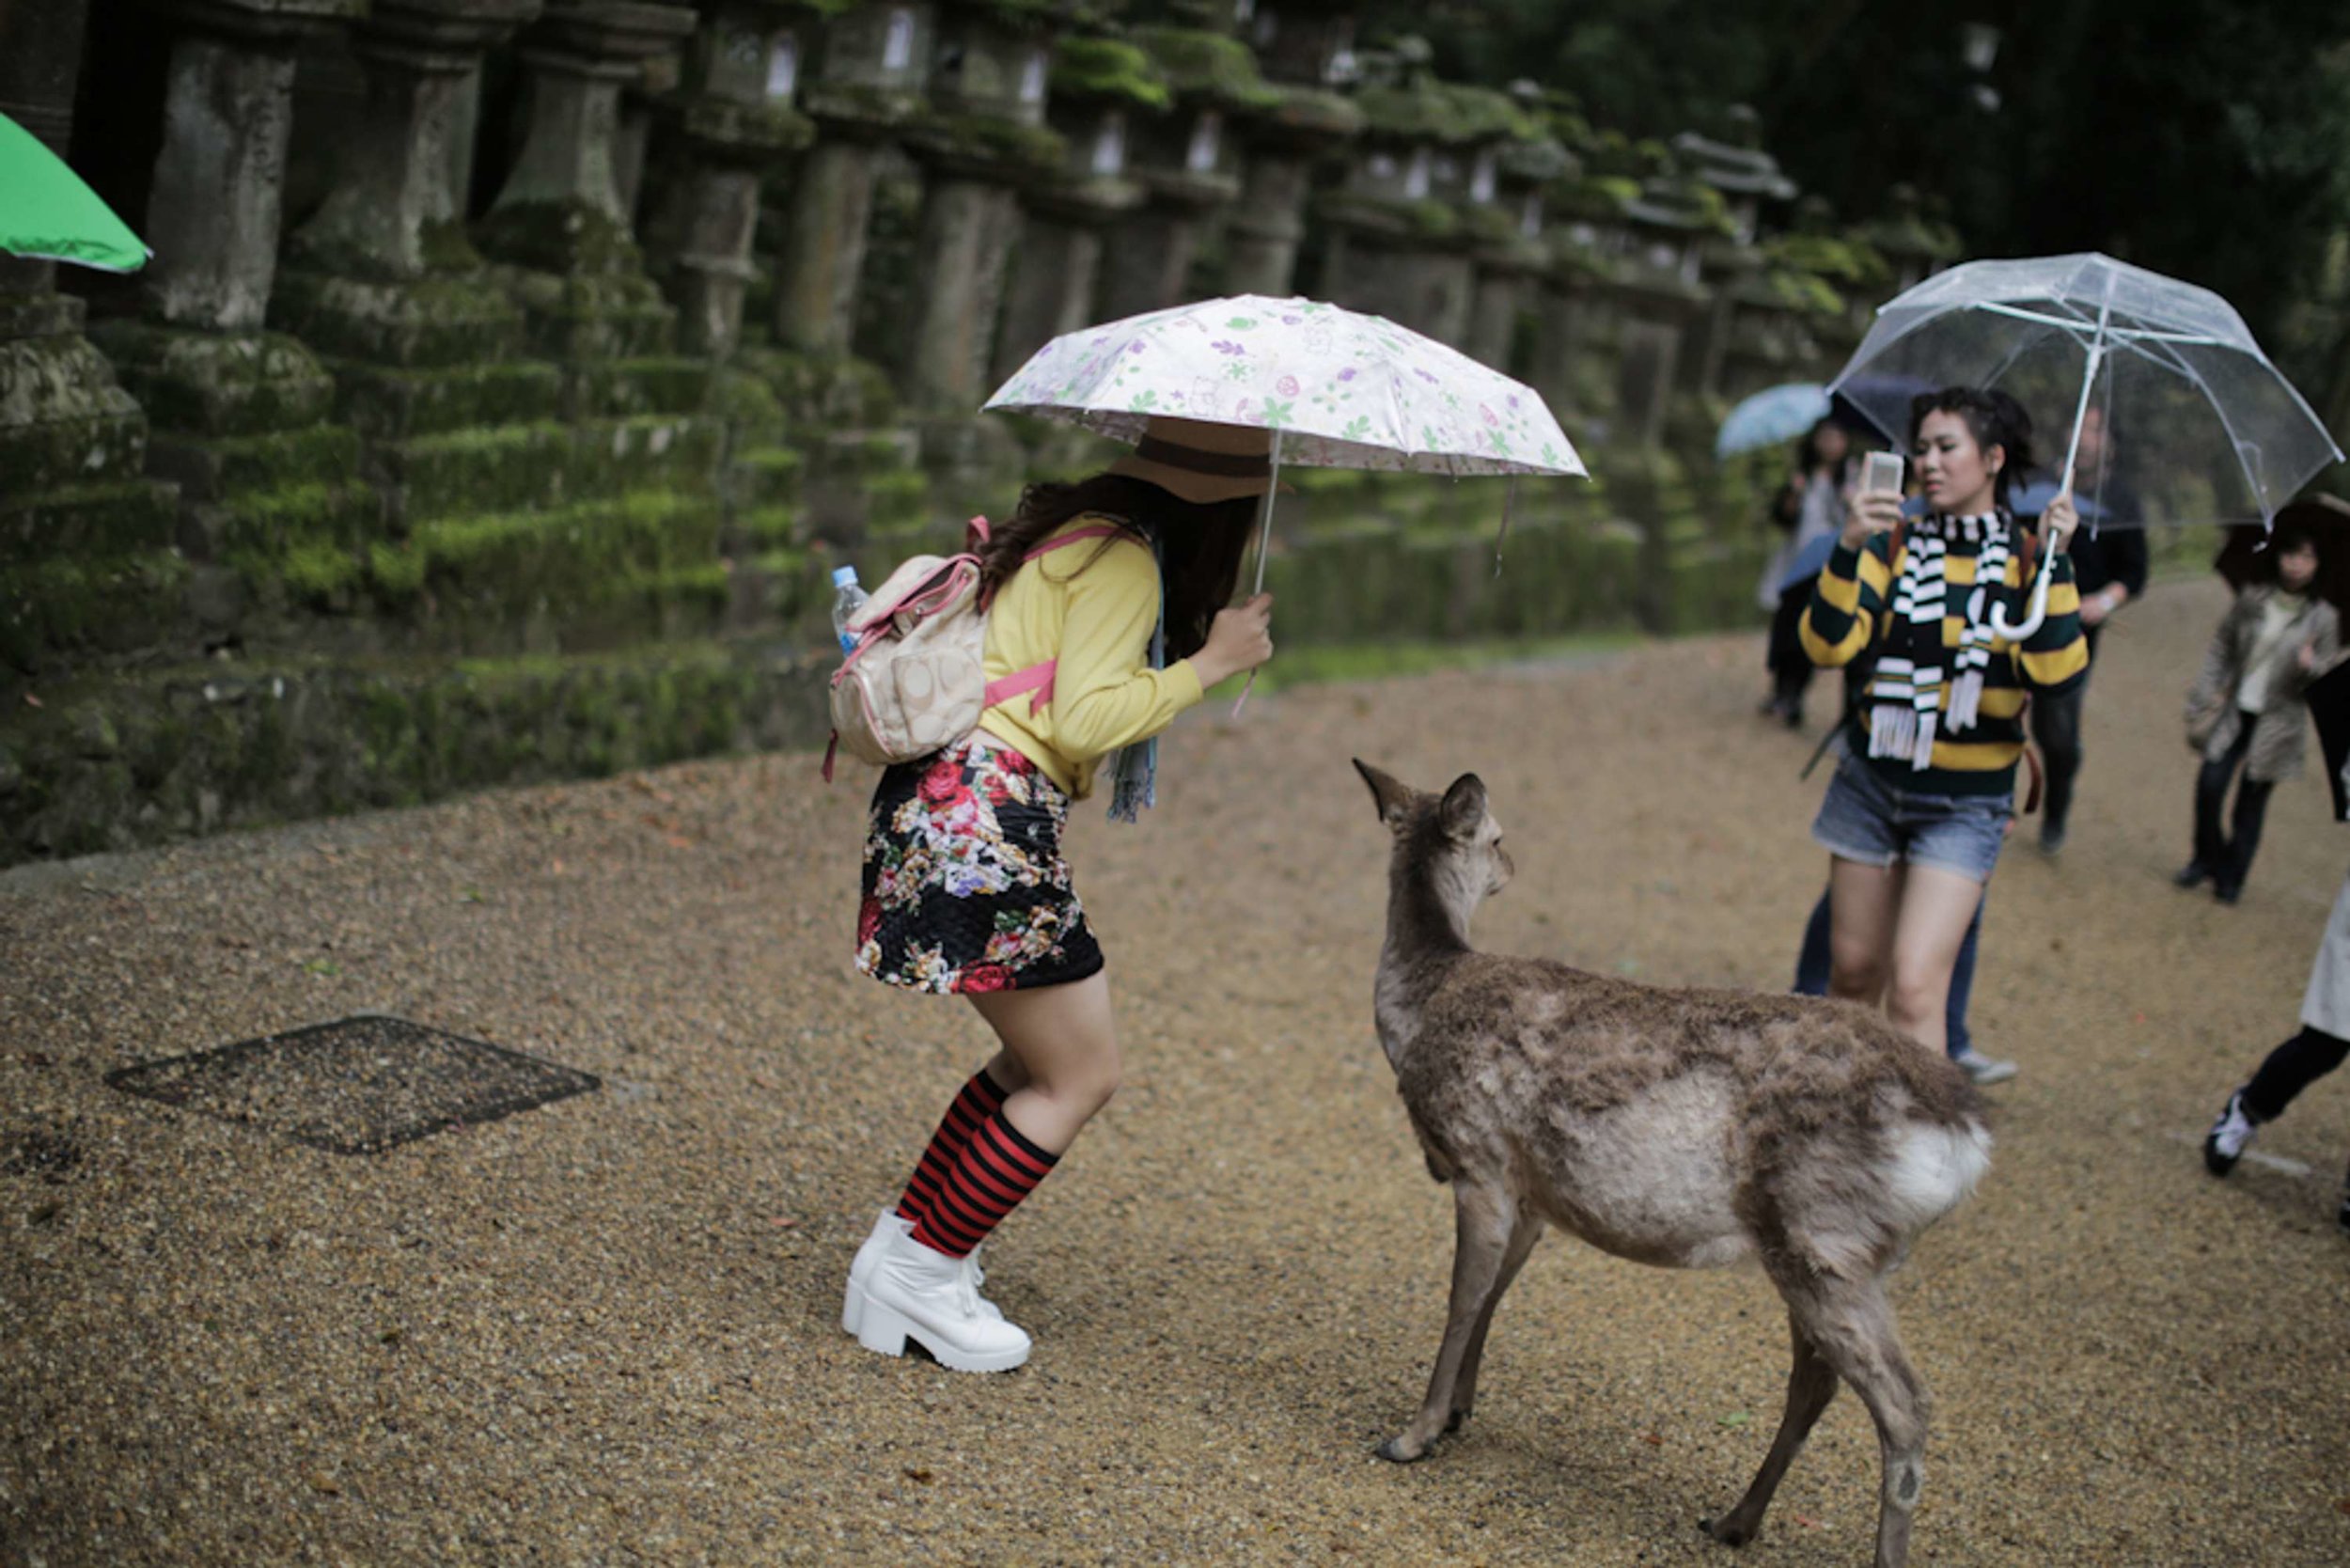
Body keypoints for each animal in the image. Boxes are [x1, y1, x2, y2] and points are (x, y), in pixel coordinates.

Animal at [1354, 761, 1993, 1568]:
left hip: (1824, 1236)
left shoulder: (1480, 1158)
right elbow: (1495, 1296)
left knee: (1905, 1404)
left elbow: (1462, 1299)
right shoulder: (1533, 1195)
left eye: (1496, 835)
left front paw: (1414, 1435)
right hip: (1828, 1253)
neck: (1424, 1002)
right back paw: (1734, 1521)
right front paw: (1462, 1411)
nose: (1512, 865)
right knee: (1816, 1382)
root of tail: (1967, 1138)